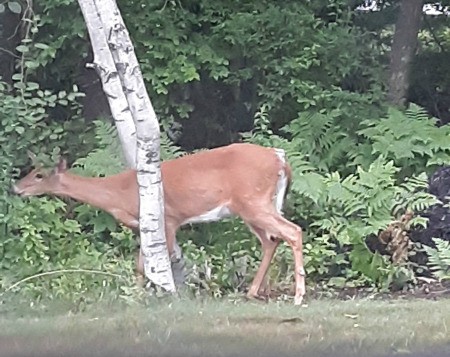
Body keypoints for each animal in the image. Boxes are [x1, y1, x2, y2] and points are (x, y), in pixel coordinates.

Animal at [12, 142, 306, 304]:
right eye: (31, 170)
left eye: (39, 175)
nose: (16, 188)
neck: (120, 193)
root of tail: (280, 158)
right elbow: (143, 264)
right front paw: (139, 295)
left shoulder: (168, 219)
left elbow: (157, 262)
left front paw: (158, 294)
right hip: (252, 206)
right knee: (271, 240)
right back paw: (252, 292)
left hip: (253, 200)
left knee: (292, 231)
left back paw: (298, 296)